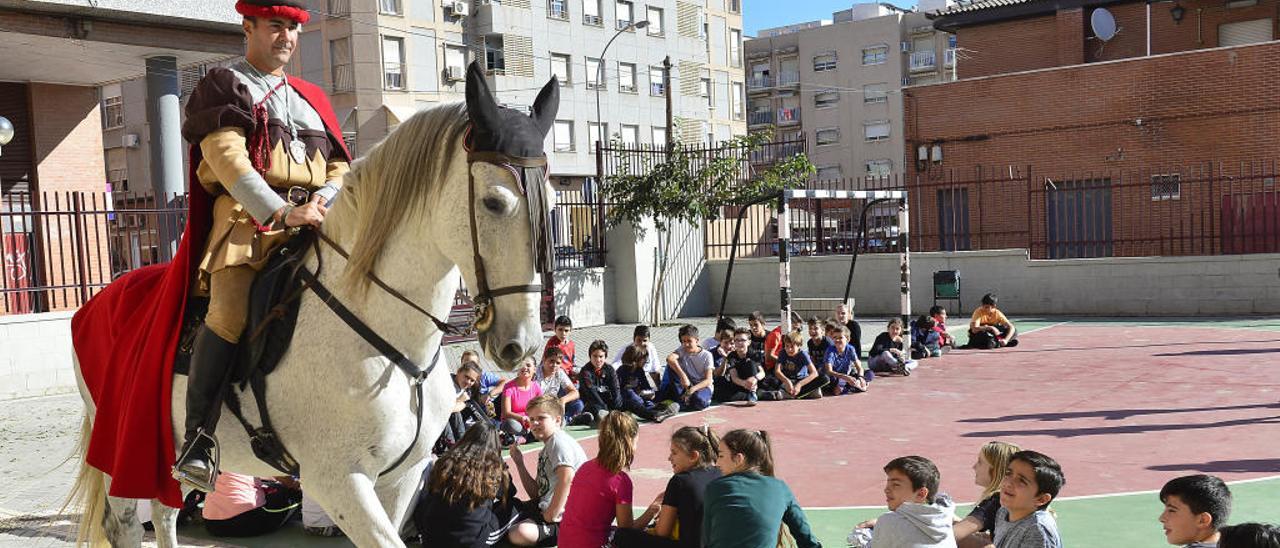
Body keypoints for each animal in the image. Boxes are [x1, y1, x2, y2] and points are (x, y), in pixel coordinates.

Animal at [67, 65, 560, 548]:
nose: (521, 343)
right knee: (128, 523)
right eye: (494, 202)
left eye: (553, 202)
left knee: (165, 513)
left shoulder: (401, 479)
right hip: (126, 447)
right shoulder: (339, 481)